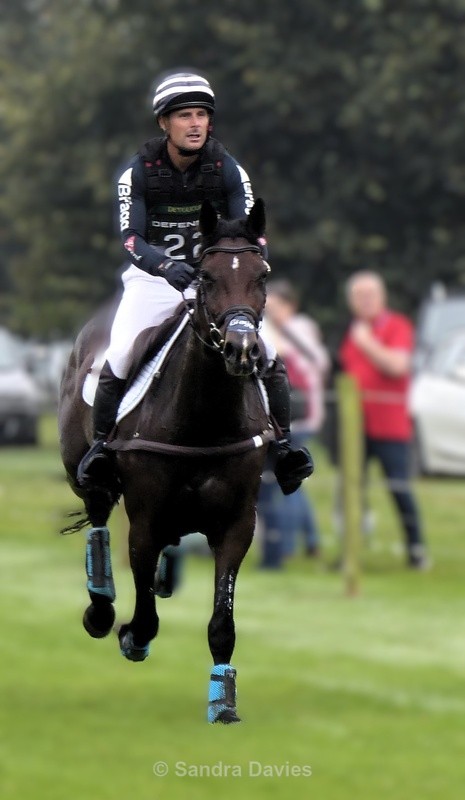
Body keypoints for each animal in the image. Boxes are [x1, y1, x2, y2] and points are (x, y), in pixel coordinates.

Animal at [58, 198, 274, 723]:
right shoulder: (146, 517)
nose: (242, 350)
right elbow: (144, 610)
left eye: (262, 275)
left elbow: (222, 618)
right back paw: (101, 609)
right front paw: (132, 635)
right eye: (207, 277)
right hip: (84, 473)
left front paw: (223, 703)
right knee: (98, 520)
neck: (205, 416)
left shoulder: (238, 522)